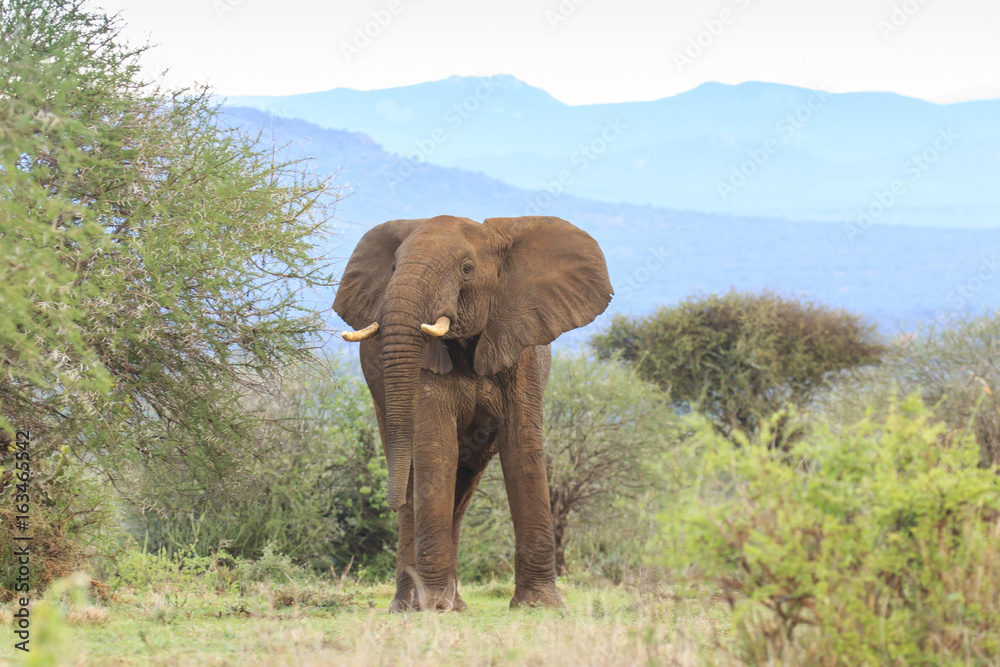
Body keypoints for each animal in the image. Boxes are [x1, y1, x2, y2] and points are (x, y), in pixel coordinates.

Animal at [333, 214, 612, 611]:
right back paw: (411, 606)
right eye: (393, 268)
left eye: (467, 269)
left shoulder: (520, 347)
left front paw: (539, 605)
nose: (389, 505)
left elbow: (523, 448)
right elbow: (435, 448)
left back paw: (454, 604)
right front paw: (433, 609)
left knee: (462, 485)